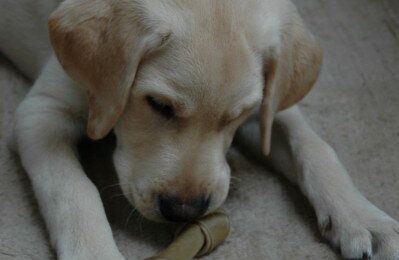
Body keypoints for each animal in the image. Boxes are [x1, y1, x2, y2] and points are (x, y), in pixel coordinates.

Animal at [1, 0, 398, 258]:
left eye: (241, 114)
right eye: (159, 105)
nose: (185, 210)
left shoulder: (272, 105)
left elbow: (314, 146)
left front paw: (363, 217)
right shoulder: (40, 113)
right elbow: (73, 190)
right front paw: (95, 251)